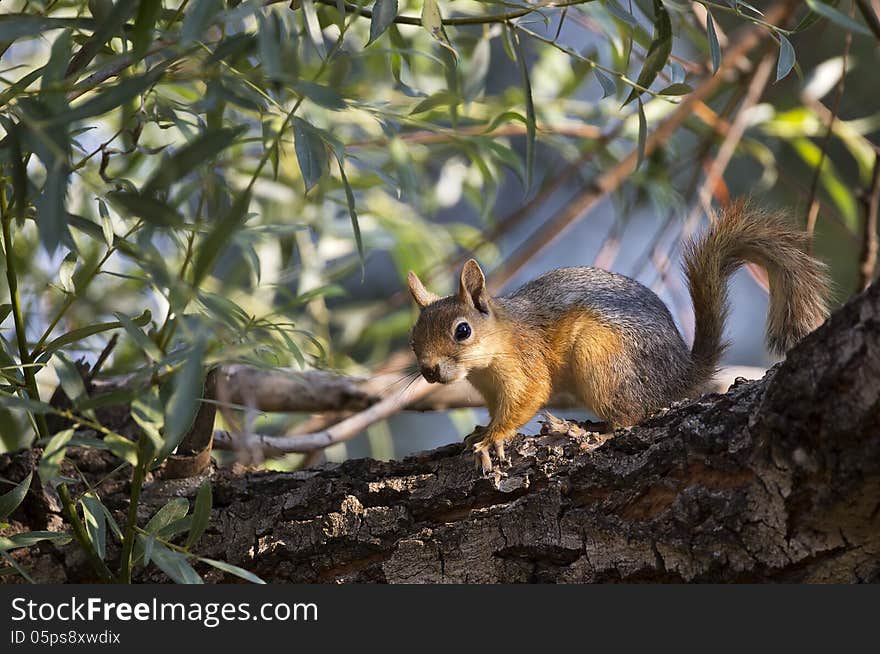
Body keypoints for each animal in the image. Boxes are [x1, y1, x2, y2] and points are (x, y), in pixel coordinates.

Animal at [406, 202, 832, 474]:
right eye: (413, 337)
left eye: (462, 330)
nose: (429, 371)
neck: (493, 350)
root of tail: (679, 375)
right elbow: (498, 408)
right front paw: (481, 431)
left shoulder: (526, 364)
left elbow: (528, 397)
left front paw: (492, 439)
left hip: (601, 357)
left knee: (628, 418)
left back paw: (585, 433)